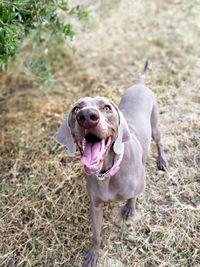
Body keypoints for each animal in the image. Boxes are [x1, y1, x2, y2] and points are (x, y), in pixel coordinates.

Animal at [55, 61, 166, 266]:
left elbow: (133, 197)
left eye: (106, 107)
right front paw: (93, 253)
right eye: (76, 109)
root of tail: (140, 84)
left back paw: (162, 160)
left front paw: (129, 209)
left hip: (155, 125)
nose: (87, 116)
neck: (106, 173)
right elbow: (96, 234)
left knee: (160, 141)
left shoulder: (138, 185)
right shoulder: (95, 206)